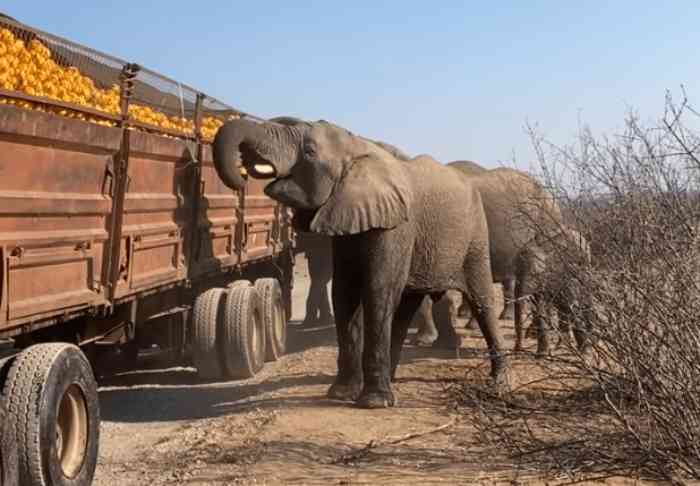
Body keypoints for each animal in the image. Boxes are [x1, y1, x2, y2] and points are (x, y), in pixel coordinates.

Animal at [211, 117, 512, 406]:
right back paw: (392, 379)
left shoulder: (395, 226)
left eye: (309, 152)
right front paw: (341, 395)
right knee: (405, 306)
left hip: (475, 236)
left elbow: (377, 290)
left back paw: (499, 384)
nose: (241, 181)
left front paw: (373, 402)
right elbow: (345, 292)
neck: (358, 150)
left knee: (481, 300)